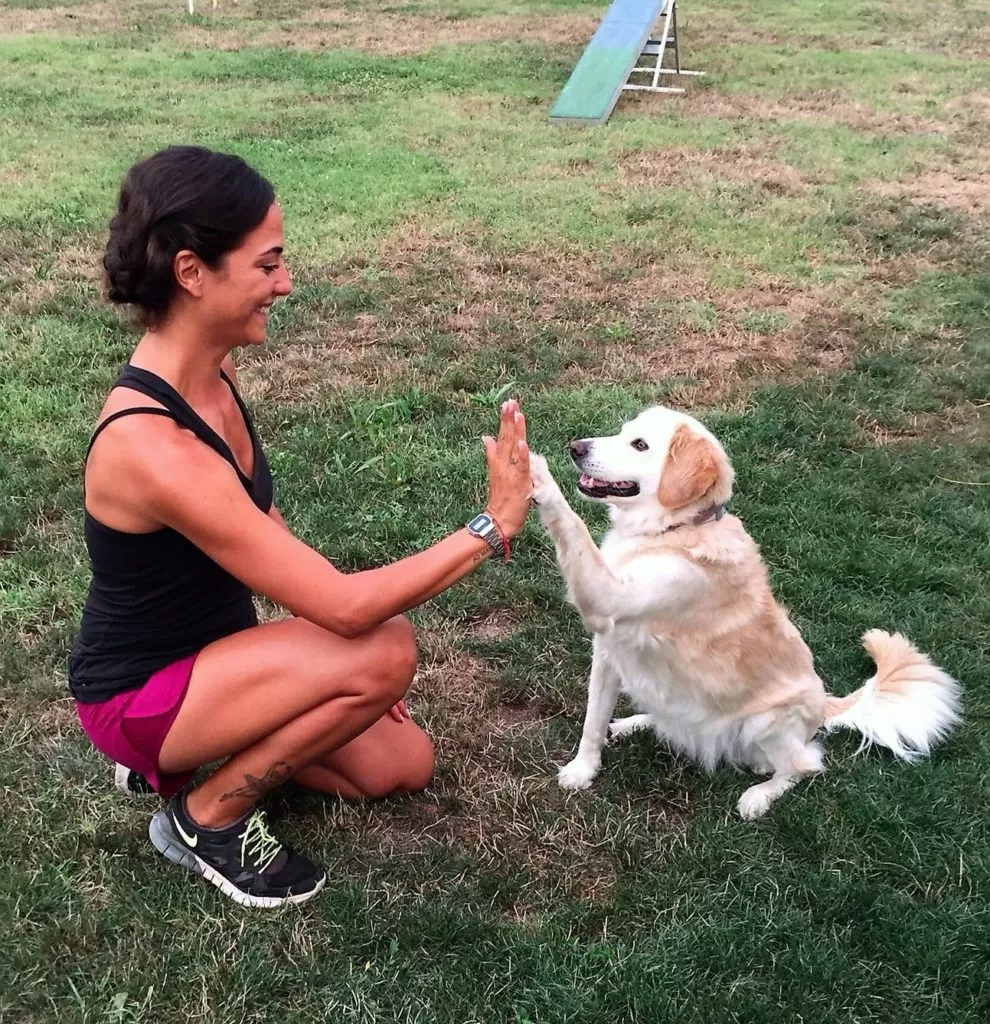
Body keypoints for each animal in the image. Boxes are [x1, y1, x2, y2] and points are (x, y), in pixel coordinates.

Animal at [532, 405, 962, 815]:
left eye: (639, 445)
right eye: (621, 433)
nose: (575, 448)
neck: (676, 529)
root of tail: (826, 703)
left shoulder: (607, 598)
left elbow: (572, 524)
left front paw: (536, 471)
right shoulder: (607, 652)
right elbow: (592, 721)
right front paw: (583, 770)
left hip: (766, 722)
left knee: (805, 765)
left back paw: (759, 796)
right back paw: (636, 723)